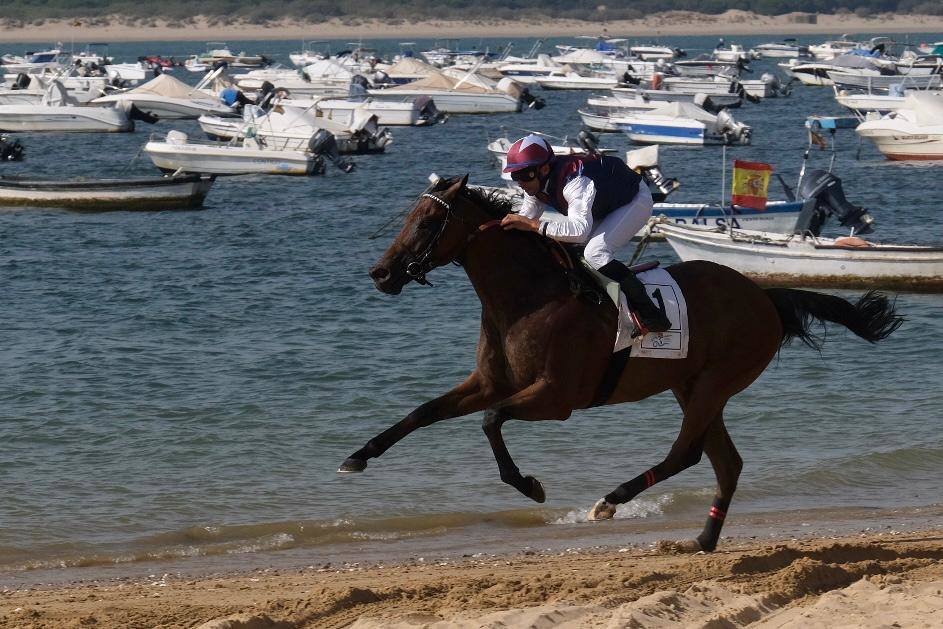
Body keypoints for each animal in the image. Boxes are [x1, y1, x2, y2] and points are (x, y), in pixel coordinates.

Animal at [342, 174, 908, 552]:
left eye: (428, 221)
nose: (381, 273)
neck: (529, 297)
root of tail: (765, 296)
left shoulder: (556, 397)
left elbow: (490, 420)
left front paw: (530, 485)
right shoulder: (488, 381)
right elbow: (424, 412)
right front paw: (358, 456)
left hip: (714, 383)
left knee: (687, 454)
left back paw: (611, 500)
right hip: (692, 385)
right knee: (726, 462)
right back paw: (702, 539)